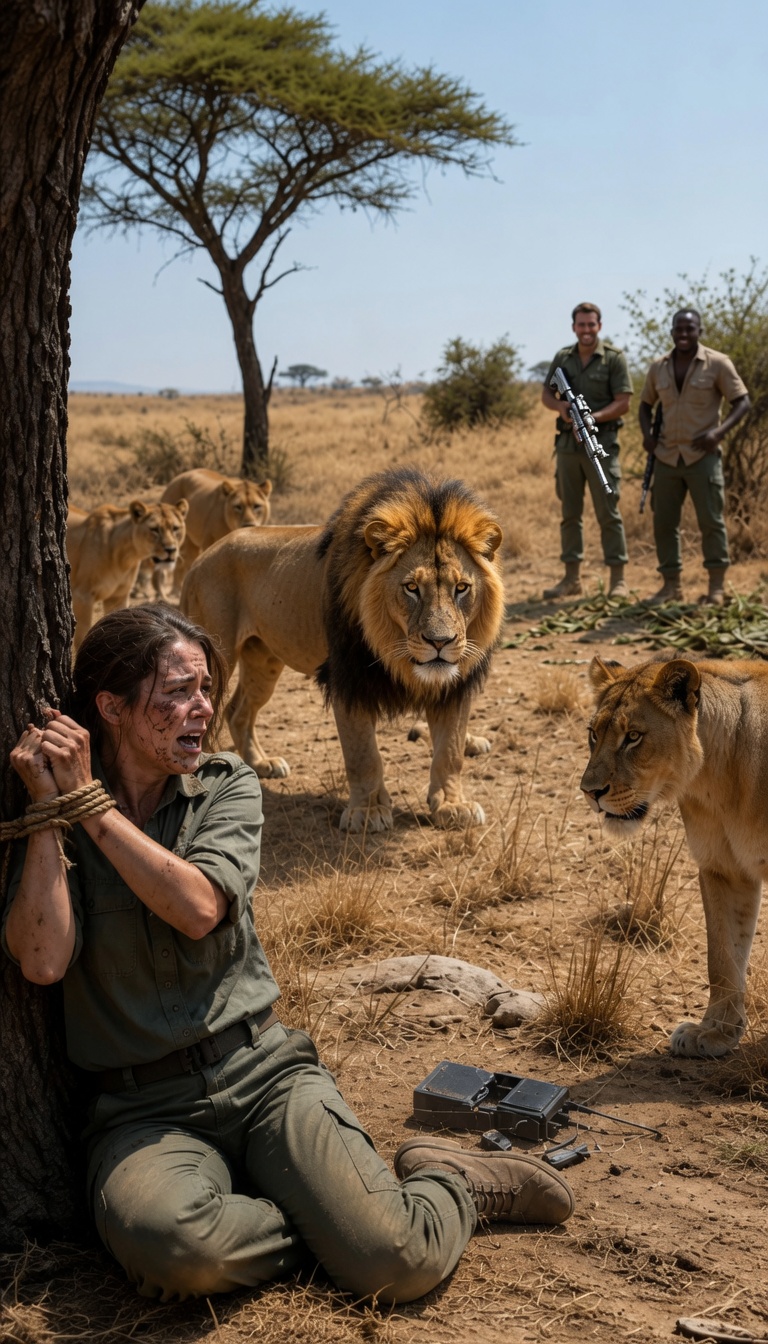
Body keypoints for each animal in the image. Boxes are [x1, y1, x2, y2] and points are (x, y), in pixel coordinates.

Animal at [67, 499, 189, 649]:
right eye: (154, 529)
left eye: (175, 528)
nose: (171, 550)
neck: (125, 557)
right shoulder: (82, 596)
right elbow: (82, 637)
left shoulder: (118, 597)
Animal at [181, 467, 504, 831]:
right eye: (411, 588)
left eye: (461, 588)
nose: (440, 642)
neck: (397, 653)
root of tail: (199, 560)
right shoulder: (348, 680)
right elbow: (363, 753)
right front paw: (368, 812)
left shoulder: (456, 683)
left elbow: (450, 750)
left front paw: (452, 805)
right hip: (216, 658)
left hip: (264, 660)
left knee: (238, 711)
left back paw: (261, 764)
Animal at [581, 653, 768, 1058]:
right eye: (593, 734)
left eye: (633, 737)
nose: (590, 792)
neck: (716, 778)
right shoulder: (723, 868)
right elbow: (722, 955)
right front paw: (715, 1031)